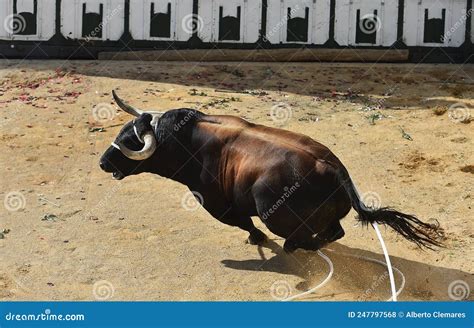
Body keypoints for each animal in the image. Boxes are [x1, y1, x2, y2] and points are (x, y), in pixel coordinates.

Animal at [100, 91, 440, 252]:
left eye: (130, 141)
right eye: (122, 132)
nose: (103, 163)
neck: (186, 141)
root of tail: (334, 170)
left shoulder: (216, 204)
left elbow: (243, 223)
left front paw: (257, 238)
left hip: (271, 210)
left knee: (306, 235)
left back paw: (293, 246)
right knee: (335, 232)